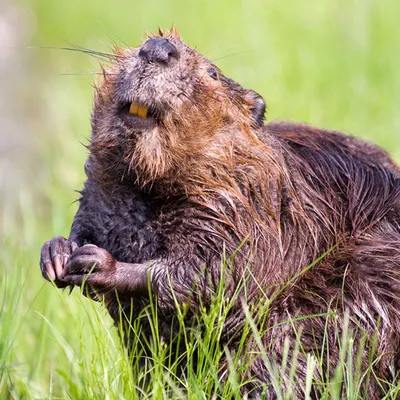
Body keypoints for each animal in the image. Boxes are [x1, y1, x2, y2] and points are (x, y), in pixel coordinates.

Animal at [39, 29, 400, 398]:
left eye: (212, 73)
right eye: (140, 44)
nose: (158, 48)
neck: (147, 188)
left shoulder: (247, 211)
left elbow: (215, 276)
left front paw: (96, 263)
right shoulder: (100, 193)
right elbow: (86, 223)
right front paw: (56, 254)